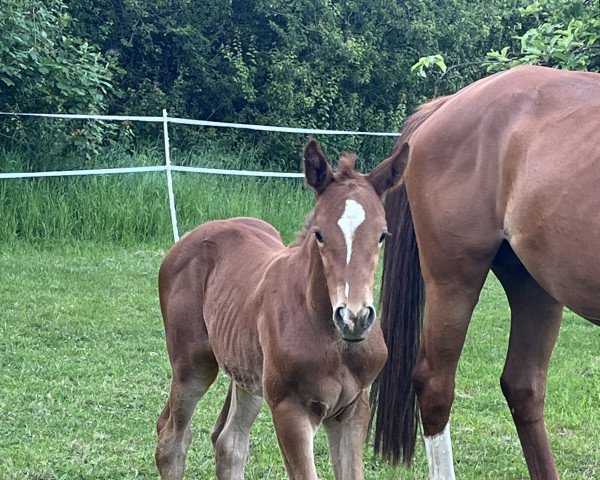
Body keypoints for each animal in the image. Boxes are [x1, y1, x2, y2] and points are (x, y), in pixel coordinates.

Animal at [155, 140, 404, 480]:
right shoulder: (290, 411)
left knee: (229, 443)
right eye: (319, 233)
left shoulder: (353, 410)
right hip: (192, 366)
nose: (354, 318)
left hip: (246, 373)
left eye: (382, 235)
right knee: (172, 439)